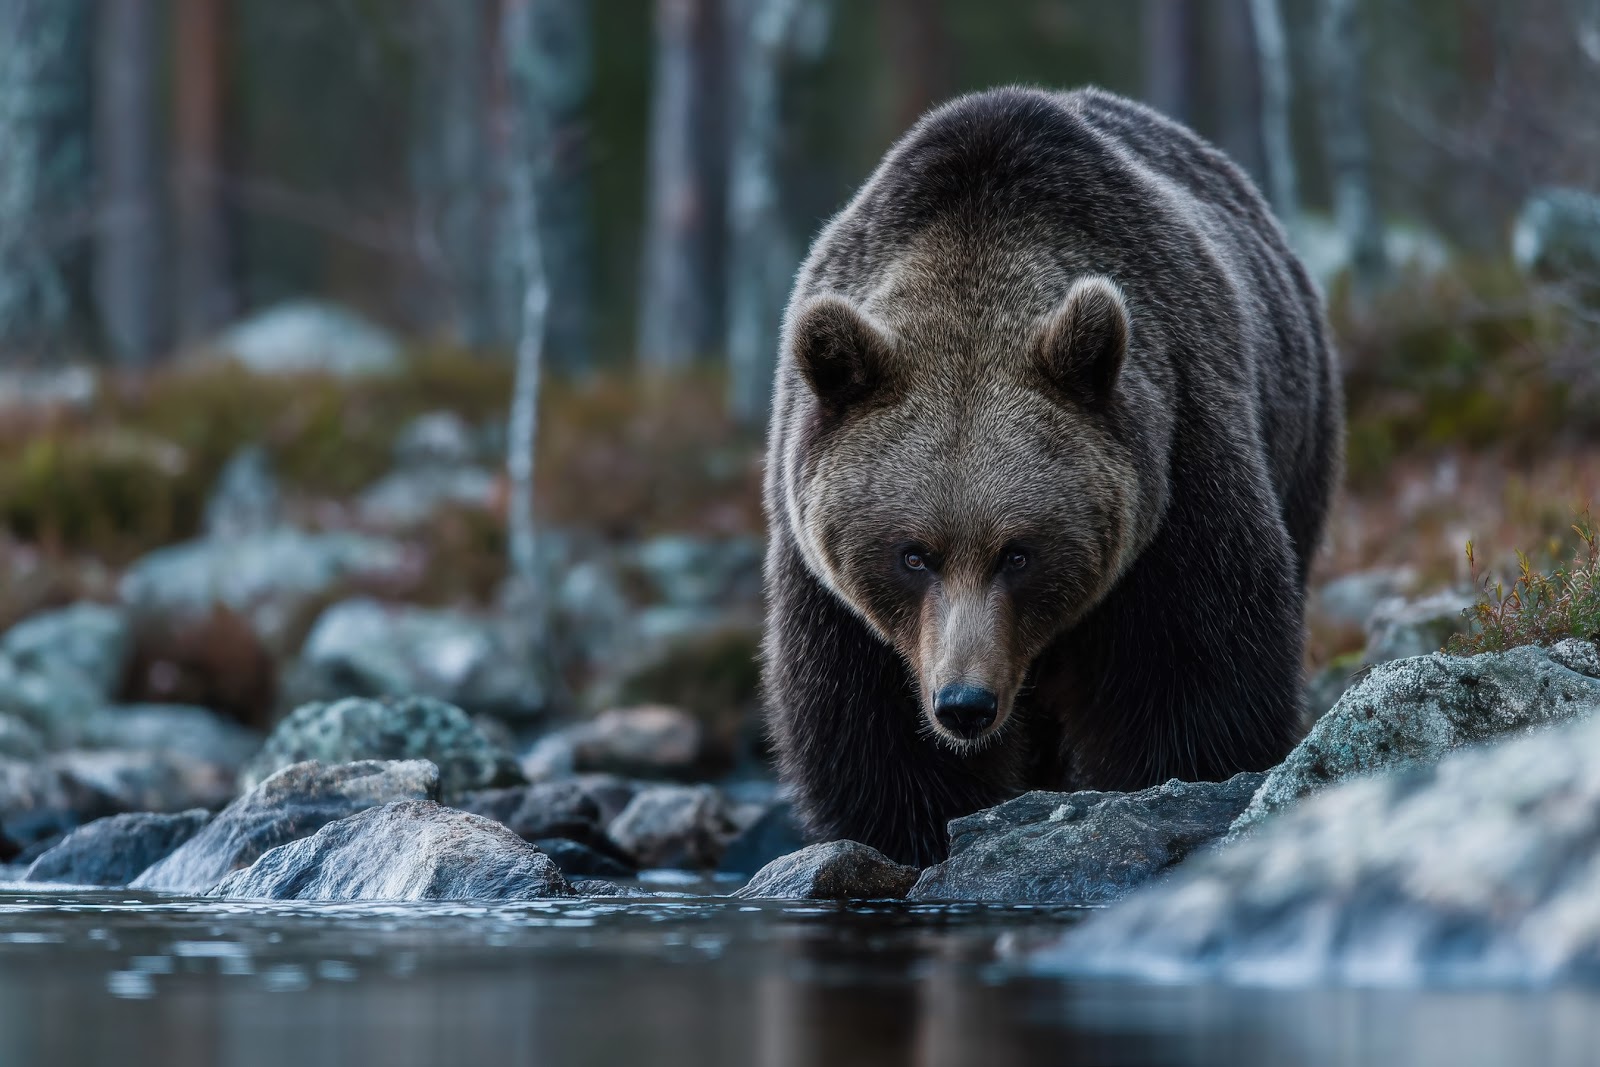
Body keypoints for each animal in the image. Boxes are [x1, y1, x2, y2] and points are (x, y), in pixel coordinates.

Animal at [760, 86, 1343, 868]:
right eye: (912, 554)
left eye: (1018, 552)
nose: (965, 704)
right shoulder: (827, 579)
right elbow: (865, 731)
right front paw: (912, 832)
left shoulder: (1176, 478)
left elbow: (1194, 675)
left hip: (1301, 443)